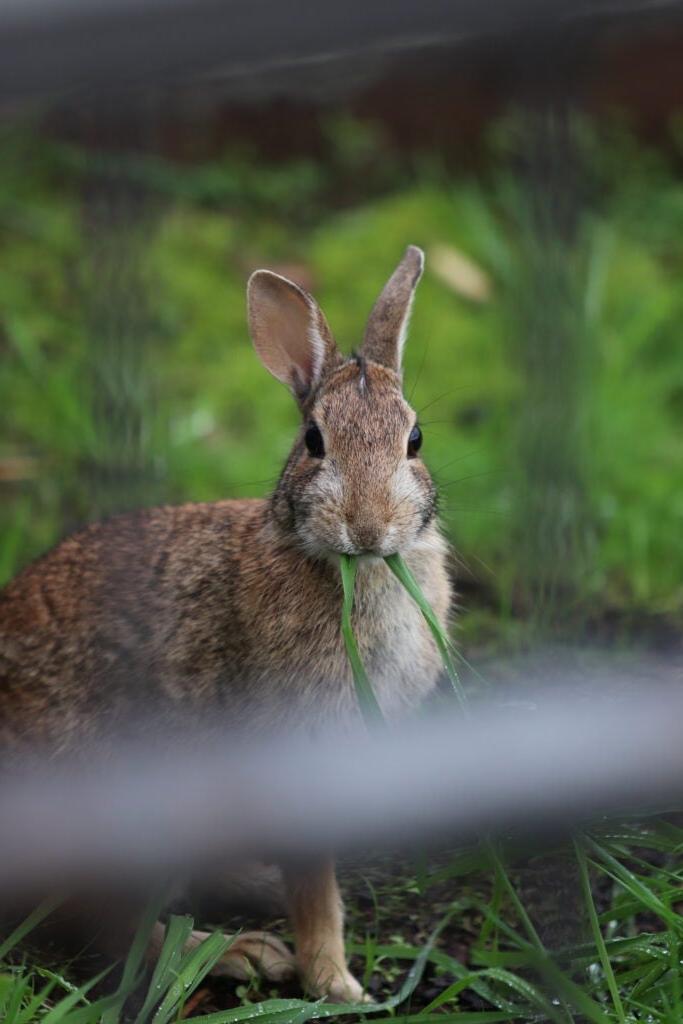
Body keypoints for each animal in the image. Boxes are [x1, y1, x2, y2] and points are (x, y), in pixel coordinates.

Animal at [1, 245, 454, 999]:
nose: (367, 527)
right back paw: (239, 952)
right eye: (313, 441)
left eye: (414, 439)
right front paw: (335, 983)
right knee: (105, 922)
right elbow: (313, 882)